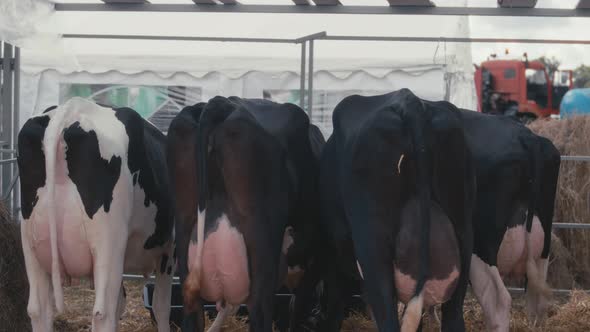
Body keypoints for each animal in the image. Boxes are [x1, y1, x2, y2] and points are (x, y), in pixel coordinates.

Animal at [17, 98, 176, 332]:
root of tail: (70, 110)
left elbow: (123, 301)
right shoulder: (170, 248)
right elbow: (161, 306)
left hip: (31, 243)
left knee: (38, 310)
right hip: (108, 244)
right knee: (103, 313)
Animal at [166, 96, 326, 332]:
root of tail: (222, 103)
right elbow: (297, 307)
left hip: (185, 229)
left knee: (192, 313)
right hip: (263, 242)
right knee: (260, 308)